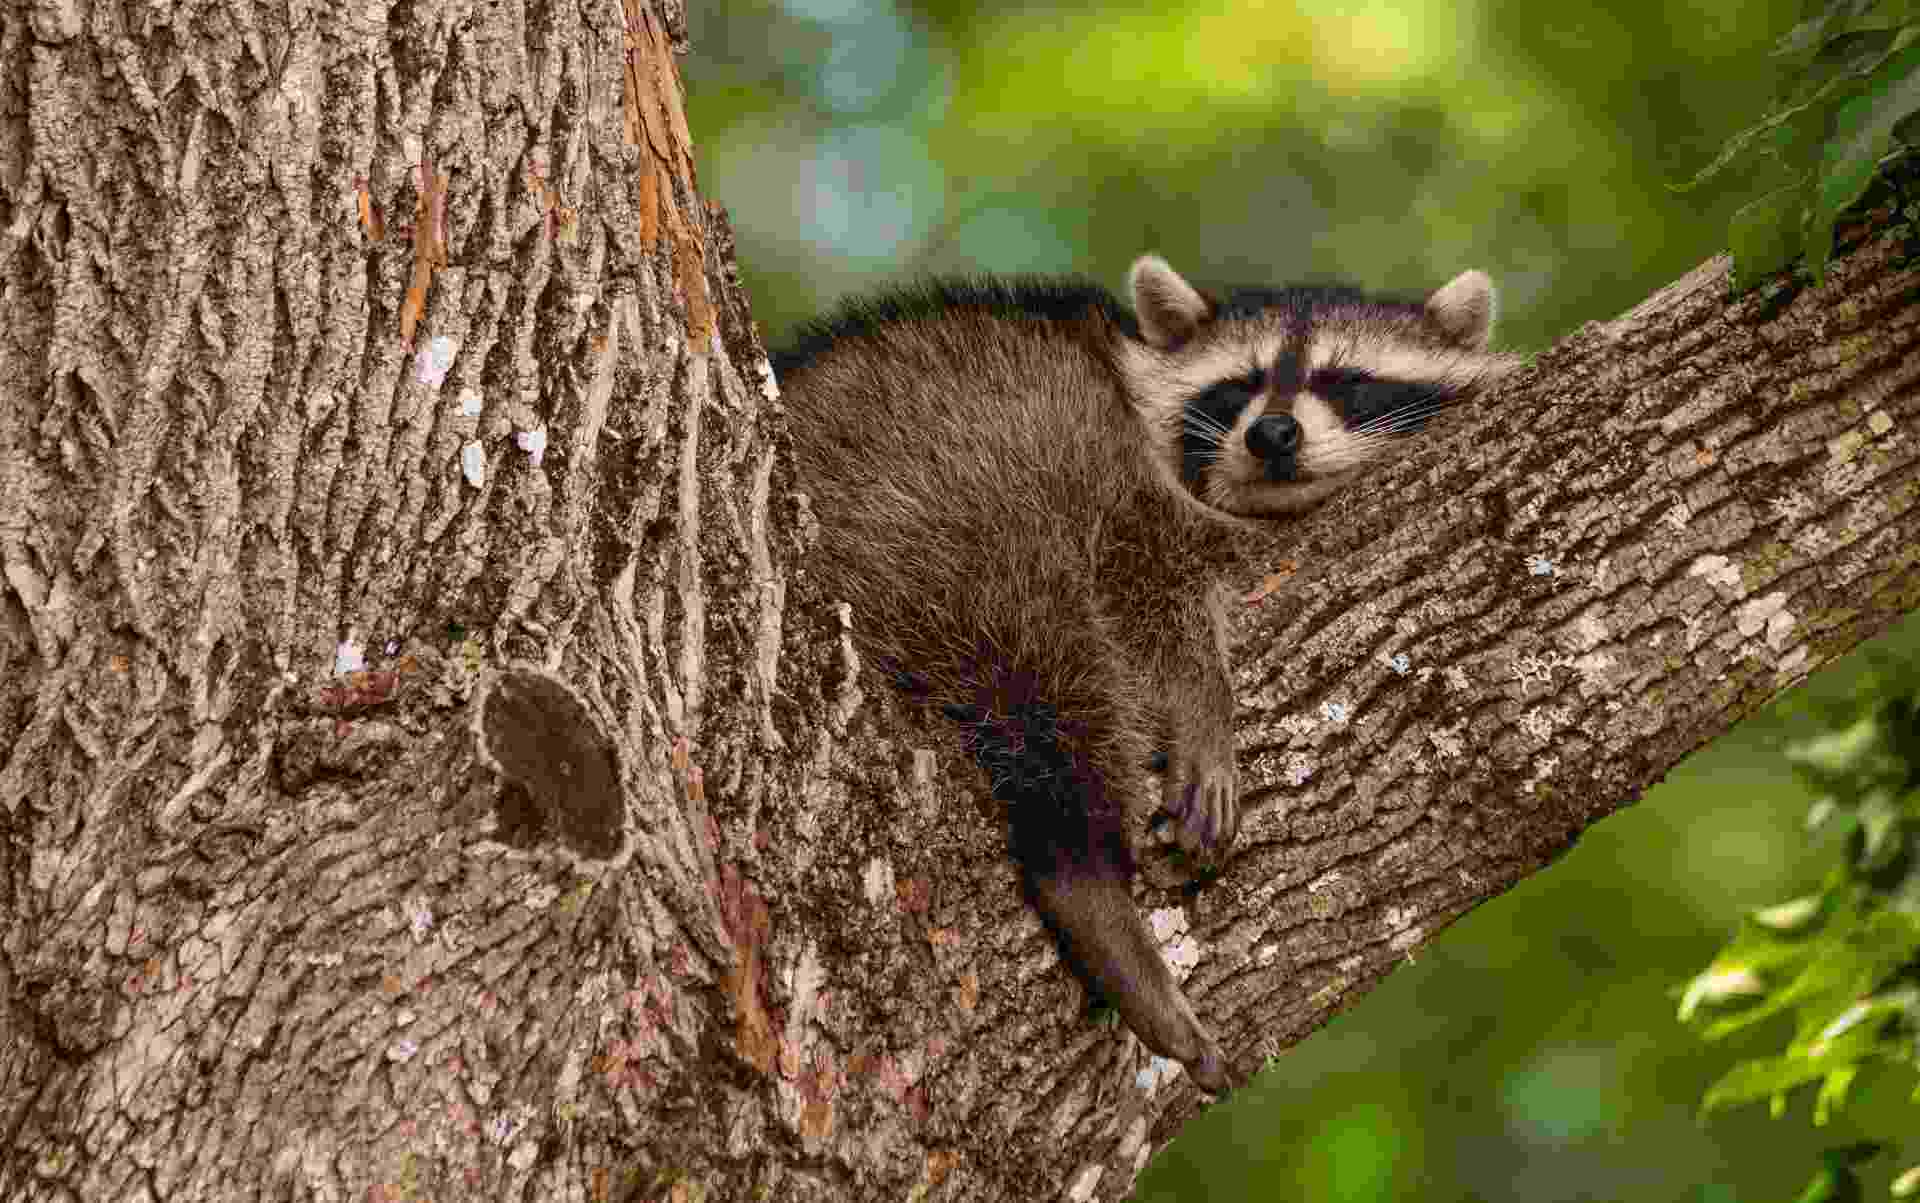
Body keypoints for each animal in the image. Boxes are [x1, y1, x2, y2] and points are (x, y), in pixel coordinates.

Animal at [777, 255, 1513, 1094]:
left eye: (1345, 380)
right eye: (1240, 384)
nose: (1273, 433)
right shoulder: (1123, 482)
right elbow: (1143, 575)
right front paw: (1202, 701)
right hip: (935, 489)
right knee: (1042, 655)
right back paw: (1080, 863)